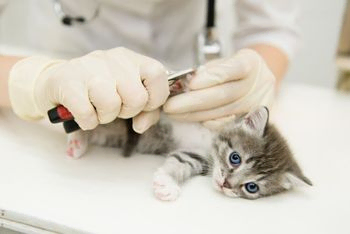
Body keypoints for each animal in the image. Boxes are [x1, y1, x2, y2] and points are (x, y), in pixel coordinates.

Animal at [67, 107, 312, 200]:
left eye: (252, 187)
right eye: (235, 158)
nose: (226, 185)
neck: (209, 139)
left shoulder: (195, 156)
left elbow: (179, 163)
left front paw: (165, 184)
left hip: (111, 136)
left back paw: (77, 143)